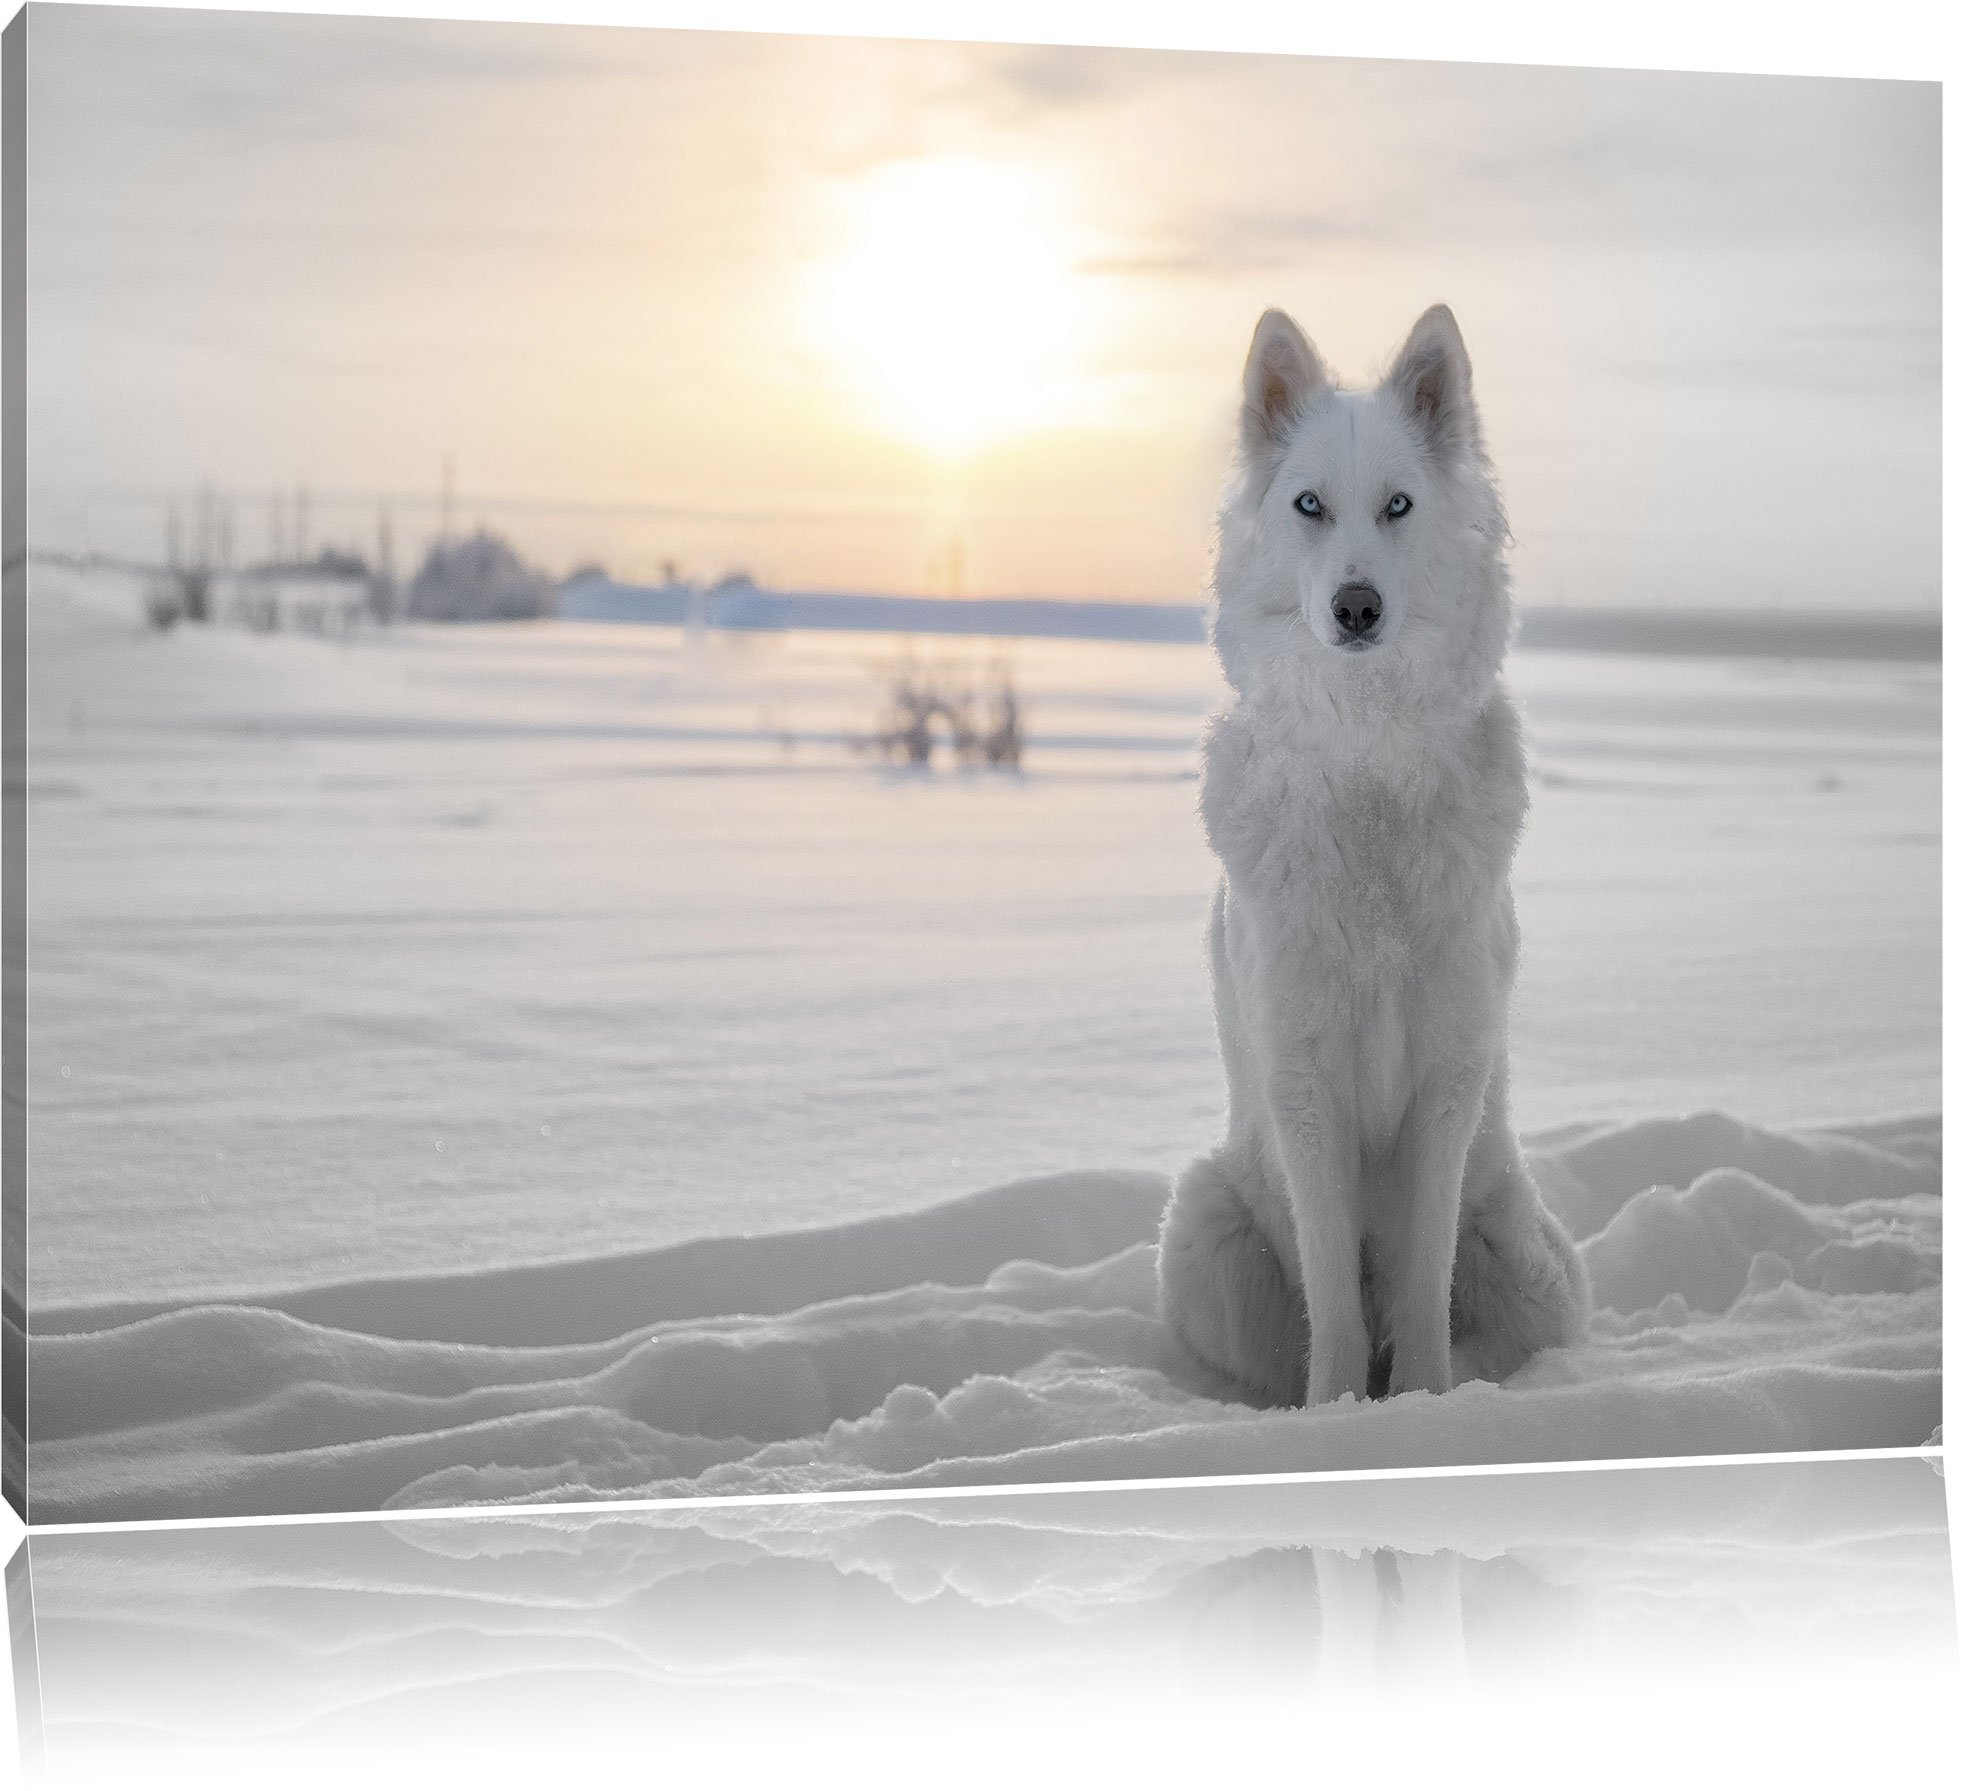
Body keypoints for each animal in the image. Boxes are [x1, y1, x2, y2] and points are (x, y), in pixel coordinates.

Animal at [1157, 304, 1590, 1408]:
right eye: (1309, 504)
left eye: (1398, 506)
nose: (1357, 607)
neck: (1369, 766)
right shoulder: (1305, 1086)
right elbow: (1338, 1305)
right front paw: (1338, 1414)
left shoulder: (1447, 1081)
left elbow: (1422, 1281)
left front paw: (1424, 1408)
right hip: (1203, 1228)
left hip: (1529, 1259)